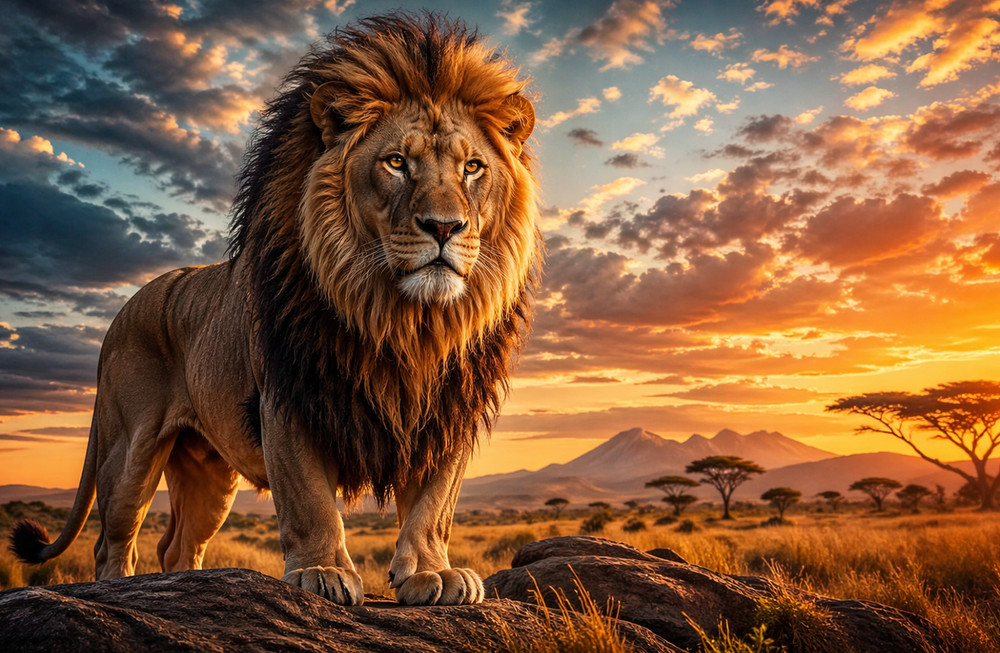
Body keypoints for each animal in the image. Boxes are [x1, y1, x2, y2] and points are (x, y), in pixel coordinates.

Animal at [9, 14, 539, 607]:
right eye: (397, 163)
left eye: (472, 167)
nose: (445, 227)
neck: (406, 321)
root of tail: (124, 310)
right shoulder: (289, 397)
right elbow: (308, 497)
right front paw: (322, 572)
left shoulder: (447, 413)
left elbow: (434, 505)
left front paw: (433, 574)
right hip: (130, 448)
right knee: (113, 541)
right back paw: (126, 591)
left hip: (209, 473)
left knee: (177, 544)